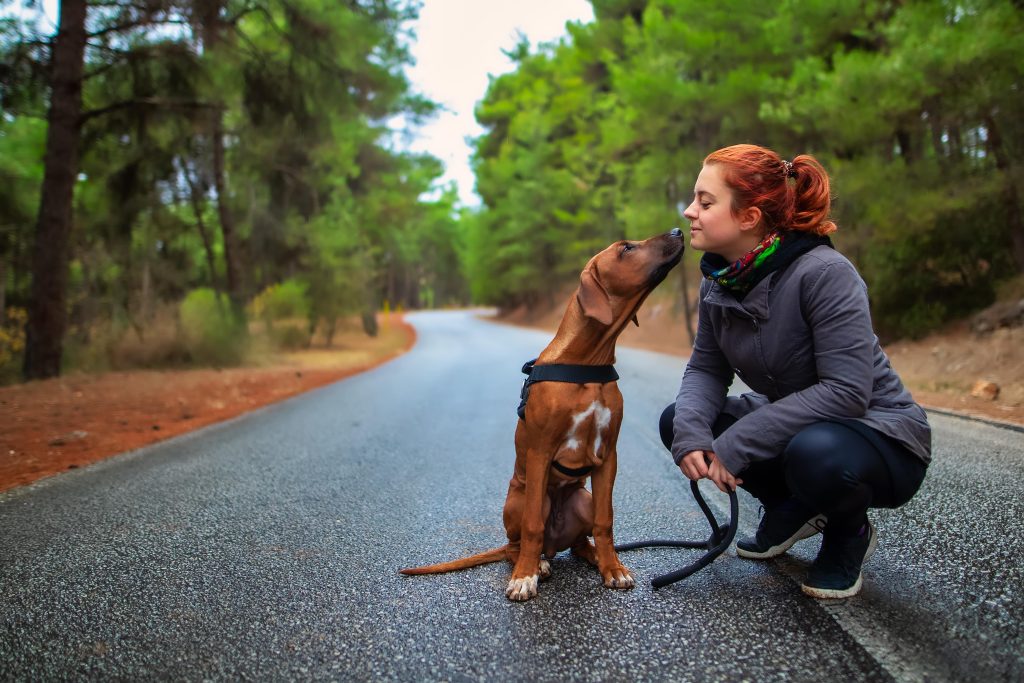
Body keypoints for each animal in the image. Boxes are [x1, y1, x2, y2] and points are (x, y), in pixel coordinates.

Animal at [397, 231, 679, 602]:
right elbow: (532, 525)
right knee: (516, 545)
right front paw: (524, 578)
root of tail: (554, 542)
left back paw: (590, 556)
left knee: (579, 542)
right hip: (522, 500)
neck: (586, 362)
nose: (678, 231)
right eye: (627, 249)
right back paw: (535, 564)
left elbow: (606, 522)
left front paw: (613, 568)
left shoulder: (608, 456)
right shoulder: (540, 453)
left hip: (583, 498)